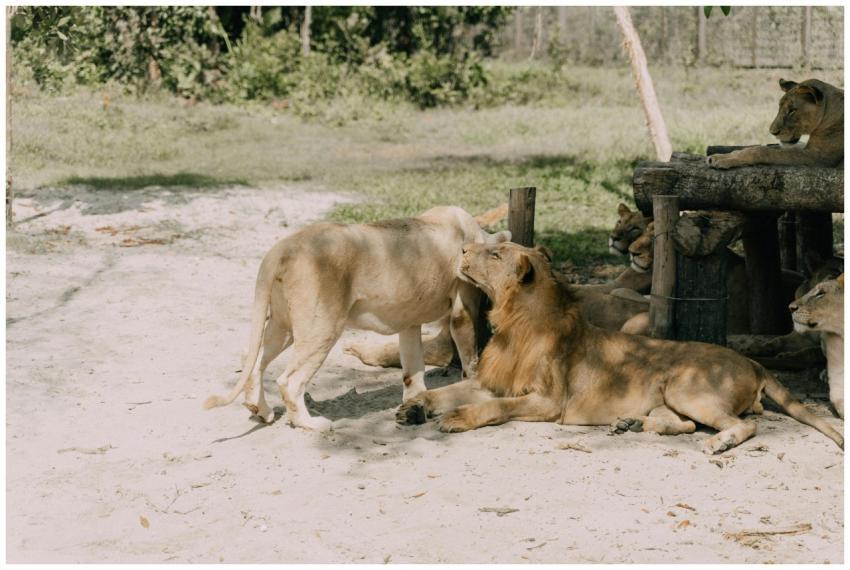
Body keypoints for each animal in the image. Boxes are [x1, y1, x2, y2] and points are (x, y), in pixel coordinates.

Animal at [204, 206, 510, 430]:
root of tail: (282, 248)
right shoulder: (463, 306)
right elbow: (468, 356)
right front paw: (469, 384)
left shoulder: (409, 321)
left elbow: (412, 370)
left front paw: (414, 407)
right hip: (321, 328)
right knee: (289, 381)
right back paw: (312, 425)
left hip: (283, 326)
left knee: (251, 361)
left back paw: (261, 411)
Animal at [708, 78, 843, 169]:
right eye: (779, 108)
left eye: (792, 111)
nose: (773, 132)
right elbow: (767, 147)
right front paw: (727, 155)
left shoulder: (819, 157)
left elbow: (763, 151)